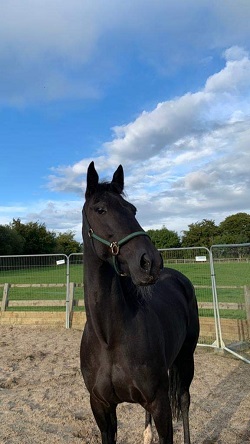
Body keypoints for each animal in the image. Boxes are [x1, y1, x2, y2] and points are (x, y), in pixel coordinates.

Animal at [81, 163, 200, 444]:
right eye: (100, 209)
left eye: (133, 209)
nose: (150, 262)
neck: (109, 337)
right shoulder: (101, 407)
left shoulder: (159, 403)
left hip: (186, 358)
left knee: (184, 400)